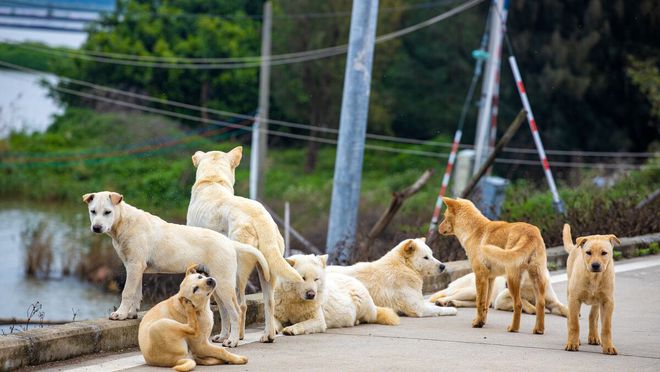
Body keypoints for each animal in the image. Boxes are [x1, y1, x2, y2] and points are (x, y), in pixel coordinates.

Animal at [82, 192, 268, 348]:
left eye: (108, 212)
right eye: (93, 211)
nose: (96, 227)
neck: (125, 222)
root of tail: (229, 242)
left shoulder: (134, 265)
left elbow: (127, 292)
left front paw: (120, 314)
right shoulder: (136, 267)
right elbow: (136, 292)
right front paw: (131, 314)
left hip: (224, 283)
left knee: (236, 312)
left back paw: (232, 341)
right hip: (215, 284)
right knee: (224, 311)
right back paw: (222, 336)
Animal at [183, 147, 302, 344]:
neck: (213, 179)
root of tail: (260, 216)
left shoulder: (212, 274)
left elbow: (222, 308)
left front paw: (223, 335)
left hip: (237, 272)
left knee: (240, 305)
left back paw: (234, 338)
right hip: (267, 270)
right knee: (268, 302)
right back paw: (267, 335)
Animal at [326, 238, 456, 316]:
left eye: (432, 254)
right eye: (425, 257)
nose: (442, 266)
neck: (405, 267)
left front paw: (443, 303)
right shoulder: (416, 307)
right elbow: (428, 309)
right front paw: (451, 309)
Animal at [430, 268, 568, 318]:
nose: (507, 283)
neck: (530, 288)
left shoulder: (553, 302)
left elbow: (562, 307)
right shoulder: (500, 299)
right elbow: (523, 301)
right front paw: (532, 308)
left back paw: (452, 303)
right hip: (471, 290)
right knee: (448, 295)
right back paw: (442, 302)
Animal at [564, 224, 620, 354]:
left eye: (604, 253)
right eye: (588, 252)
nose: (595, 265)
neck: (594, 277)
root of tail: (575, 247)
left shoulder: (608, 302)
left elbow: (606, 326)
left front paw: (608, 346)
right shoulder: (574, 300)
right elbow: (574, 324)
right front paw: (572, 343)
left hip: (597, 301)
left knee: (593, 316)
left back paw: (594, 337)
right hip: (570, 294)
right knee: (571, 318)